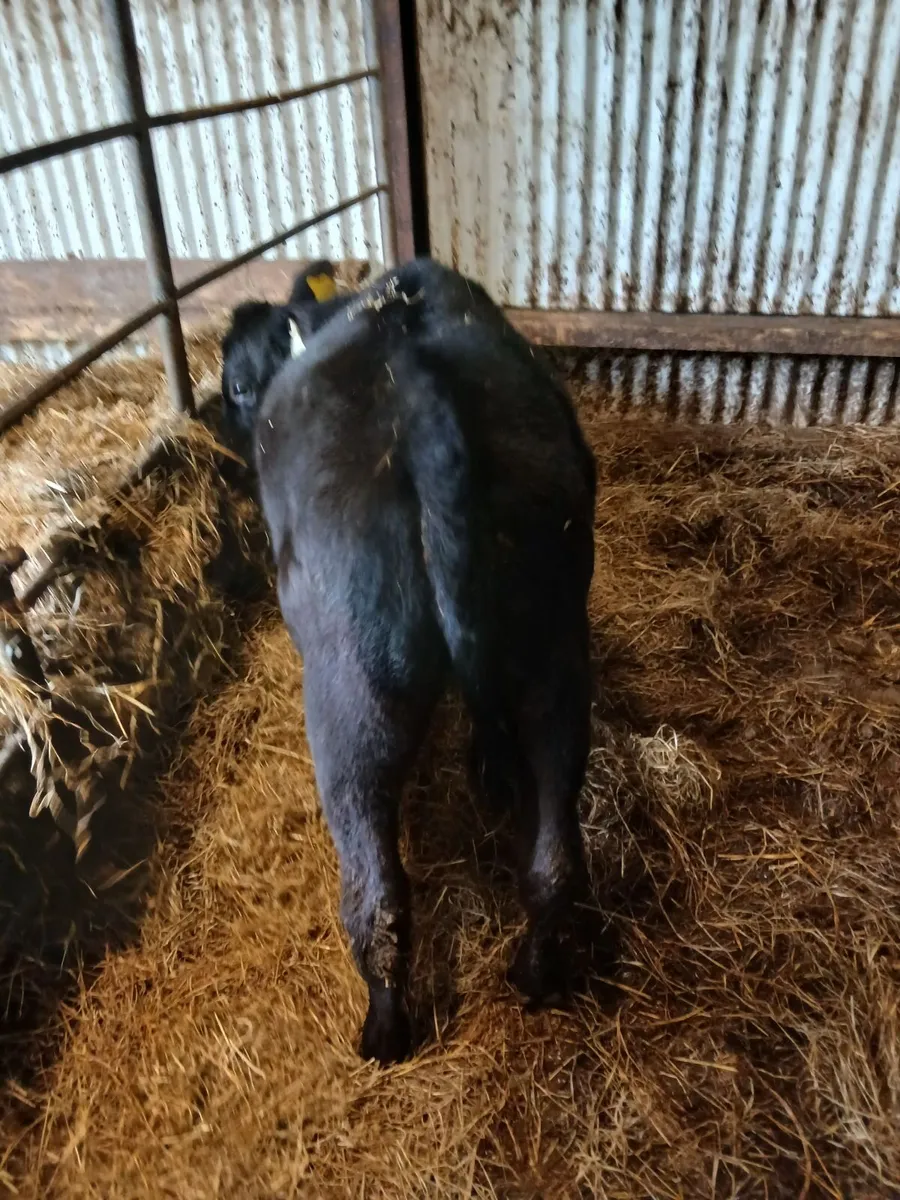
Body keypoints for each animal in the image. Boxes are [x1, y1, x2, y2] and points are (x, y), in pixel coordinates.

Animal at [220, 258, 598, 1064]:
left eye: (236, 383)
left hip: (353, 705)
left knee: (379, 899)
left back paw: (384, 1033)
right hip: (553, 661)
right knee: (553, 858)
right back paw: (536, 973)